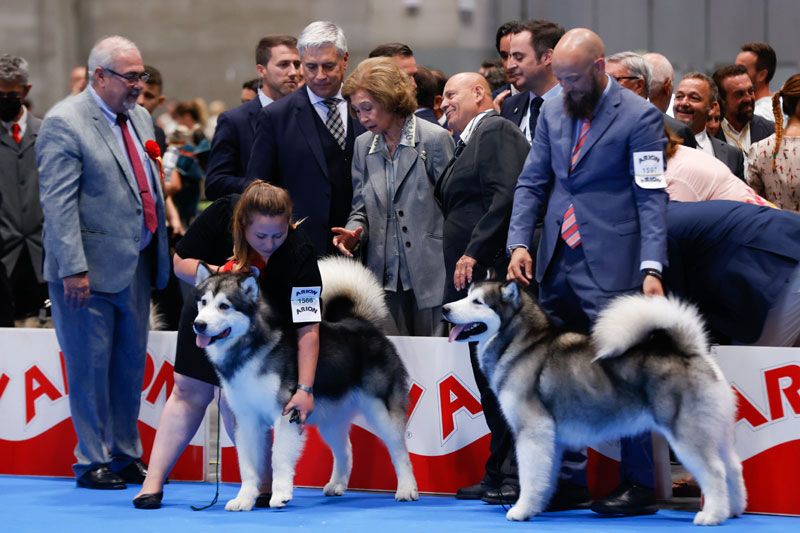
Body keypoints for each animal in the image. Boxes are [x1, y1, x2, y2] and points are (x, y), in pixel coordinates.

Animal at [194, 256, 418, 510]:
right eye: (203, 302)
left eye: (224, 306)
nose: (199, 324)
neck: (251, 348)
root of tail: (363, 324)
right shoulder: (247, 419)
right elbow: (248, 466)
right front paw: (244, 499)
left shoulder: (288, 413)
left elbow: (278, 457)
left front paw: (280, 494)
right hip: (331, 417)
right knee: (345, 450)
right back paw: (337, 484)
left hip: (382, 412)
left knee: (400, 451)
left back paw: (407, 489)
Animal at [444, 282, 744, 524]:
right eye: (467, 295)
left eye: (478, 302)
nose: (446, 309)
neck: (523, 343)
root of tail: (691, 351)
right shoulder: (550, 437)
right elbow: (544, 476)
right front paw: (540, 505)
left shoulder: (532, 431)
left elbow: (529, 476)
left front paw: (521, 510)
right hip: (716, 430)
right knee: (733, 466)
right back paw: (734, 510)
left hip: (686, 433)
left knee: (715, 471)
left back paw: (712, 515)